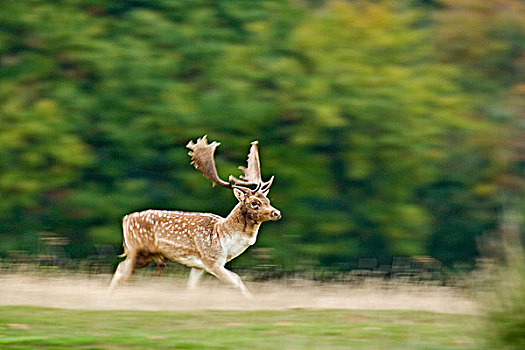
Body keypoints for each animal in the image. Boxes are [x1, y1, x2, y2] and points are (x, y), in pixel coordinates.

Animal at [107, 135, 282, 296]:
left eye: (267, 200)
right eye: (254, 203)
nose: (277, 213)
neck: (224, 237)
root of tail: (126, 219)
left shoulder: (199, 266)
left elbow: (192, 287)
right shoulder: (211, 260)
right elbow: (236, 281)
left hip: (145, 255)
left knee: (121, 268)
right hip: (136, 248)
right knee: (123, 272)